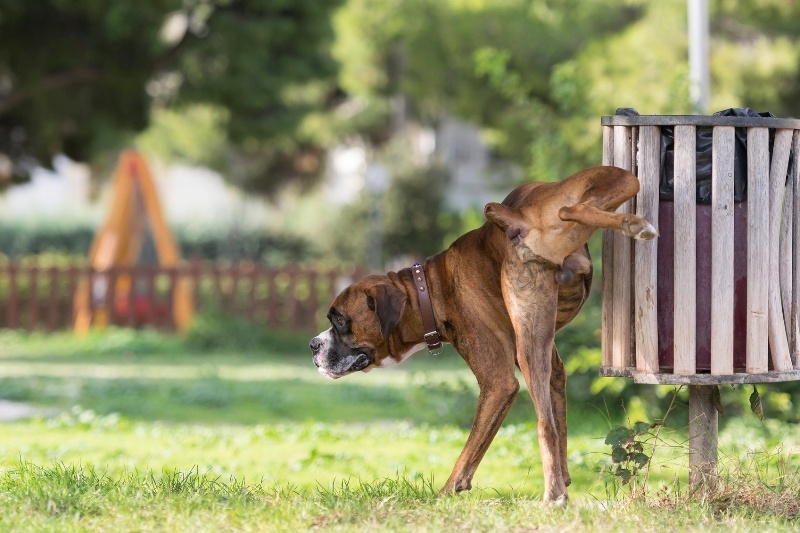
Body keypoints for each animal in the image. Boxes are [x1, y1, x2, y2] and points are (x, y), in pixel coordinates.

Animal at [308, 164, 656, 500]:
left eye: (340, 321)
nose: (313, 344)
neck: (429, 289)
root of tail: (517, 217)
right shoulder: (553, 368)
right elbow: (560, 422)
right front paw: (565, 477)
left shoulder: (498, 383)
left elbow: (471, 449)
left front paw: (446, 492)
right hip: (618, 181)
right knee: (573, 208)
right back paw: (632, 224)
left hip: (528, 347)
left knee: (544, 426)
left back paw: (552, 496)